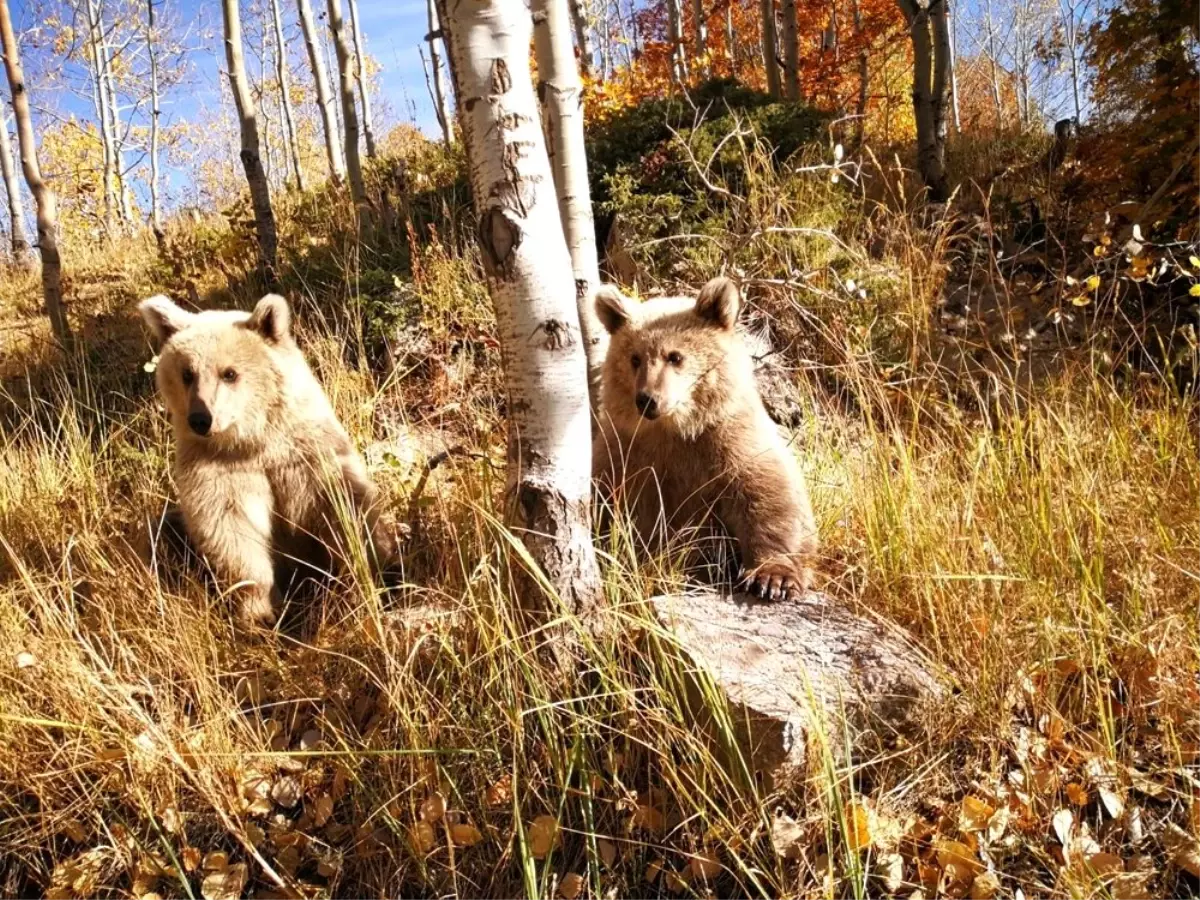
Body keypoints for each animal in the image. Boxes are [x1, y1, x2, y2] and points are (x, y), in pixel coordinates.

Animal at [139, 294, 393, 628]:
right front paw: (261, 611)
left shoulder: (304, 455)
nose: (201, 419)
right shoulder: (217, 469)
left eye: (229, 373)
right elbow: (229, 530)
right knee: (159, 532)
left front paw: (365, 573)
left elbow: (344, 507)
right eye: (187, 373)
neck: (252, 438)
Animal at [590, 278, 816, 602]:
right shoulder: (626, 452)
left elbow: (768, 494)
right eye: (634, 358)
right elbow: (604, 499)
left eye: (675, 356)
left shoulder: (729, 441)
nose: (648, 400)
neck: (676, 429)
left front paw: (773, 578)